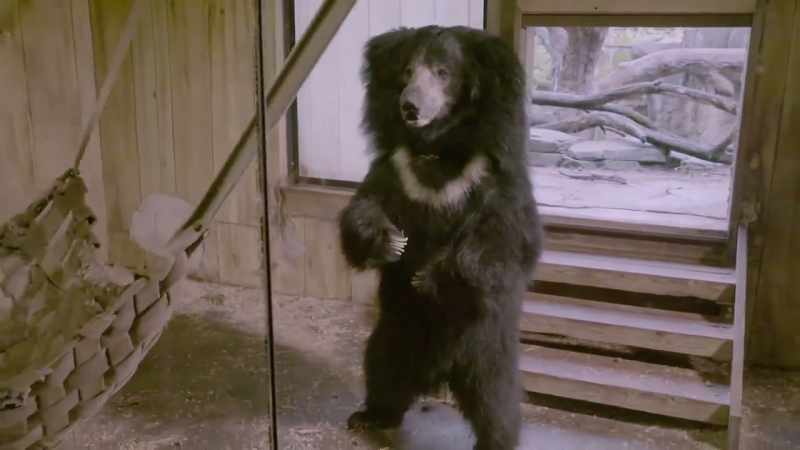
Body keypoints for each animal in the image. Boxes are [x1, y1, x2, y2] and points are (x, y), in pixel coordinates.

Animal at [338, 25, 542, 450]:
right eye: (407, 71)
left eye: (442, 73)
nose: (409, 107)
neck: (438, 150)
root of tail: (439, 373)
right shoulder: (395, 169)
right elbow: (363, 206)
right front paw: (390, 242)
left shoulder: (492, 177)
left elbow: (505, 239)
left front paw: (428, 276)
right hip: (395, 329)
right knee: (382, 369)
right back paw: (370, 416)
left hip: (486, 347)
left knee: (496, 397)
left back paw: (496, 439)